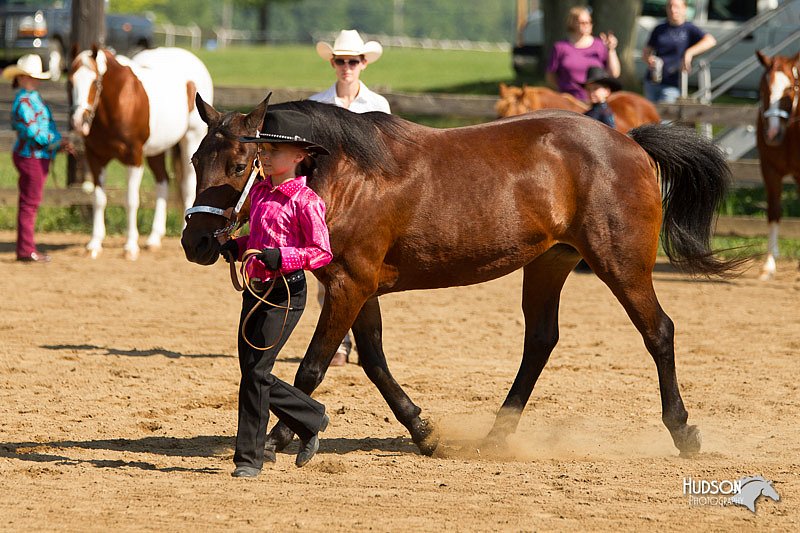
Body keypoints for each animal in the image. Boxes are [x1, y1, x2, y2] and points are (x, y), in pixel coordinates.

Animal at [69, 46, 212, 258]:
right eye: (70, 81)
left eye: (95, 81)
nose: (79, 122)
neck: (120, 101)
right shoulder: (95, 158)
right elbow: (98, 199)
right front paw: (94, 244)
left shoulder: (134, 158)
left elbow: (131, 200)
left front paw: (130, 246)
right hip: (156, 150)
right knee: (163, 182)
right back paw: (154, 239)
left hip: (191, 140)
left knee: (187, 185)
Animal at [183, 95, 744, 462]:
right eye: (194, 158)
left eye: (239, 164)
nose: (197, 242)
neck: (347, 173)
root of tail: (628, 142)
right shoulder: (358, 287)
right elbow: (375, 362)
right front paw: (424, 432)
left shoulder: (350, 284)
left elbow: (312, 369)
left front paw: (280, 437)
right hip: (549, 263)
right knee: (541, 340)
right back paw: (497, 434)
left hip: (621, 266)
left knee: (658, 332)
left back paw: (683, 433)